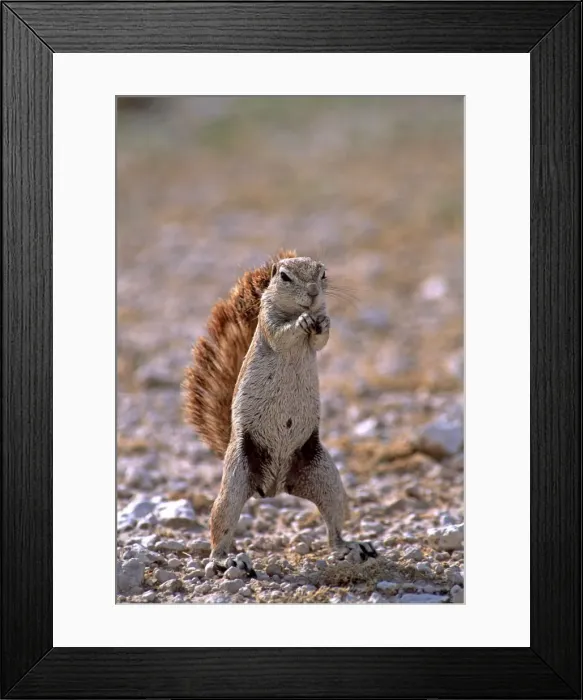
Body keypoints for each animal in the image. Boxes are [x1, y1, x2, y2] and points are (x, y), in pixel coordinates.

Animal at [183, 250, 377, 576]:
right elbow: (282, 334)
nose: (312, 293)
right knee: (220, 525)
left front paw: (323, 321)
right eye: (284, 277)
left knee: (334, 527)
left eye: (323, 274)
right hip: (236, 477)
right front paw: (301, 321)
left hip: (326, 478)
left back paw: (351, 546)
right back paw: (226, 560)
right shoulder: (268, 323)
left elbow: (321, 340)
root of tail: (274, 486)